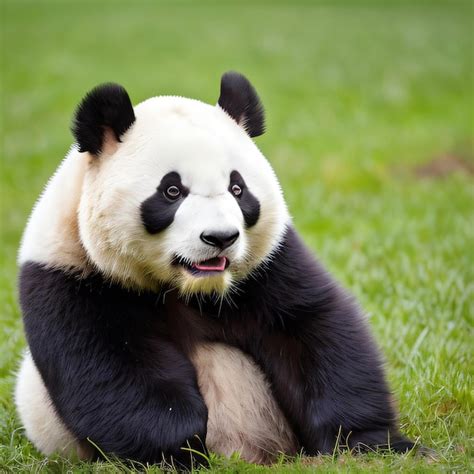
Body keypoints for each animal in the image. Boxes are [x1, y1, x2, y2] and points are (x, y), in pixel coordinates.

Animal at [14, 72, 414, 468]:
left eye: (238, 189)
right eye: (172, 191)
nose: (220, 237)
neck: (190, 288)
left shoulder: (269, 265)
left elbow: (314, 332)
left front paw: (369, 444)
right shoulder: (71, 275)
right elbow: (111, 369)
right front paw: (183, 451)